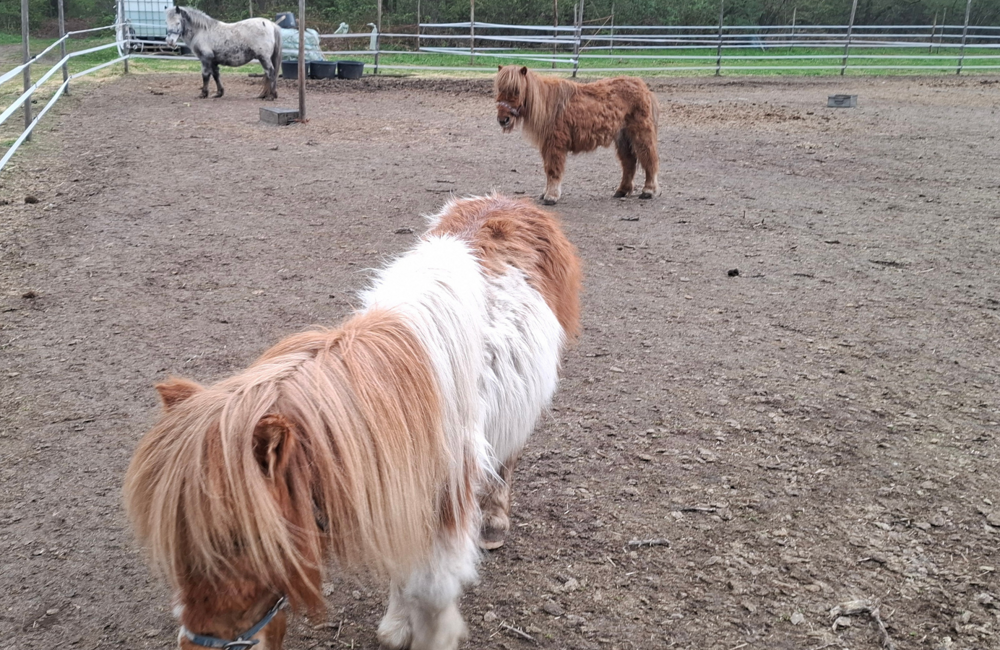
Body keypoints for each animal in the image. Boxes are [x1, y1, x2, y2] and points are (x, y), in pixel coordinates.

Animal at [124, 194, 581, 650]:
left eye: (240, 540)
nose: (198, 645)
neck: (401, 397)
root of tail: (509, 202)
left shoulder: (445, 501)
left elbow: (432, 594)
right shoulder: (396, 488)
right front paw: (396, 625)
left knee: (507, 458)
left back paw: (493, 523)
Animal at [495, 65, 661, 205]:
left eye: (516, 91)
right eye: (499, 90)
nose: (503, 120)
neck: (550, 106)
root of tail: (642, 86)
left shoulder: (555, 144)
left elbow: (553, 170)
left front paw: (551, 196)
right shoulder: (547, 145)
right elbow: (548, 169)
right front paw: (545, 193)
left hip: (640, 133)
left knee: (648, 158)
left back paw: (649, 190)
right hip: (622, 137)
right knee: (629, 162)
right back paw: (622, 190)